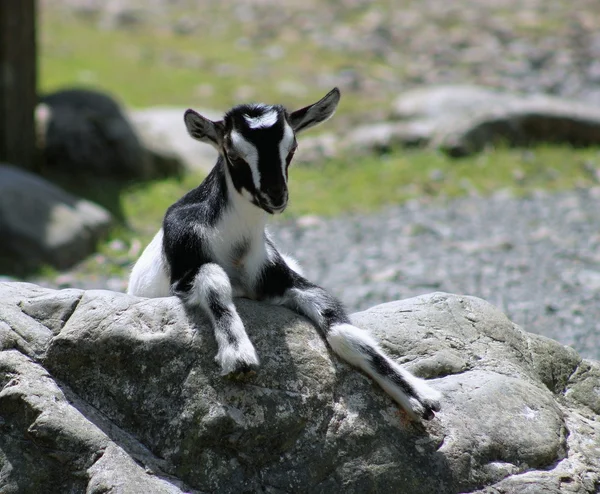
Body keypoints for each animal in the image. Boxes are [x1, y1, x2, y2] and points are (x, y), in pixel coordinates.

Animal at [129, 89, 442, 420]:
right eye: (233, 153)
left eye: (292, 148)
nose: (276, 195)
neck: (236, 245)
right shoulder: (184, 271)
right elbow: (214, 280)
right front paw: (239, 357)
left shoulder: (279, 278)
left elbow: (342, 329)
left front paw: (419, 397)